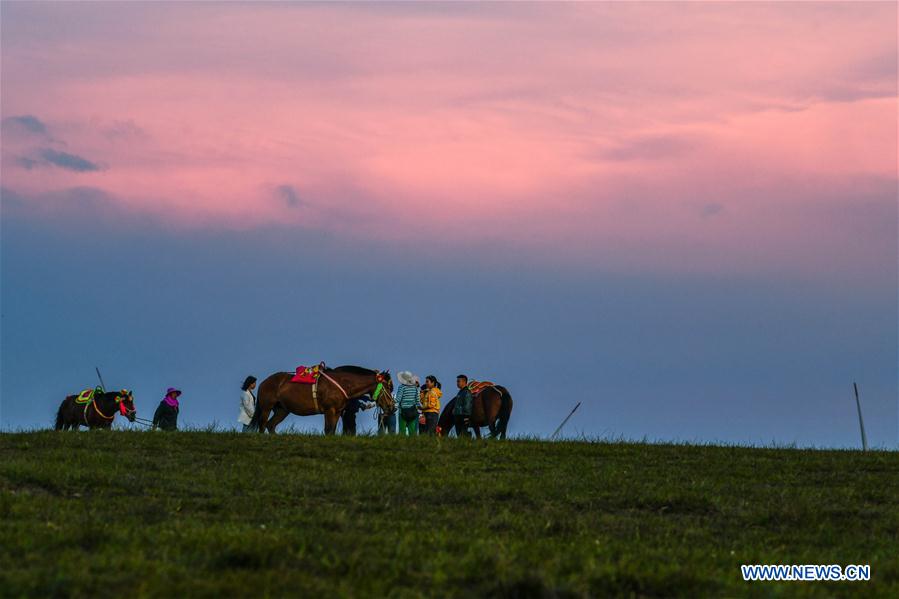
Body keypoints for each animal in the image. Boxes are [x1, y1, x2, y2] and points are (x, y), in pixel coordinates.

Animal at [251, 366, 396, 436]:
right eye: (387, 387)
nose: (392, 407)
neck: (343, 384)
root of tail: (264, 382)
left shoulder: (337, 412)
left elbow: (331, 430)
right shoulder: (329, 410)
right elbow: (328, 429)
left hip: (282, 410)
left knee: (271, 425)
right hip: (266, 407)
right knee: (262, 425)